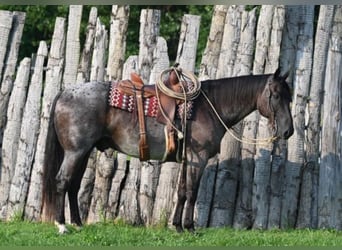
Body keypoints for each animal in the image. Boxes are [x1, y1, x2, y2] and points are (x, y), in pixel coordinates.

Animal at [42, 67, 294, 233]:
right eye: (276, 95)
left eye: (290, 97)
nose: (288, 131)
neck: (210, 106)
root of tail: (65, 92)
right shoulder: (198, 157)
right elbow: (192, 191)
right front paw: (190, 227)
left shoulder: (188, 158)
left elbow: (181, 191)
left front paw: (177, 226)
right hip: (75, 152)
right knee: (62, 181)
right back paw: (62, 225)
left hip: (84, 152)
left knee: (74, 185)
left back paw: (77, 223)